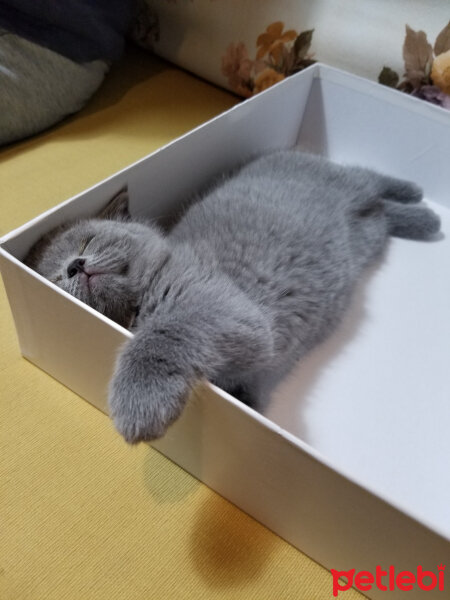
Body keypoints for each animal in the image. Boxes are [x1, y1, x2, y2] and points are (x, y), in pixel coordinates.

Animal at [23, 150, 440, 442]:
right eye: (55, 277)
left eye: (87, 241)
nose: (75, 267)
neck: (144, 302)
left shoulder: (222, 308)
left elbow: (162, 335)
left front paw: (139, 405)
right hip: (366, 236)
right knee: (382, 213)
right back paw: (421, 220)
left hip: (342, 184)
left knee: (367, 178)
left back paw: (420, 199)